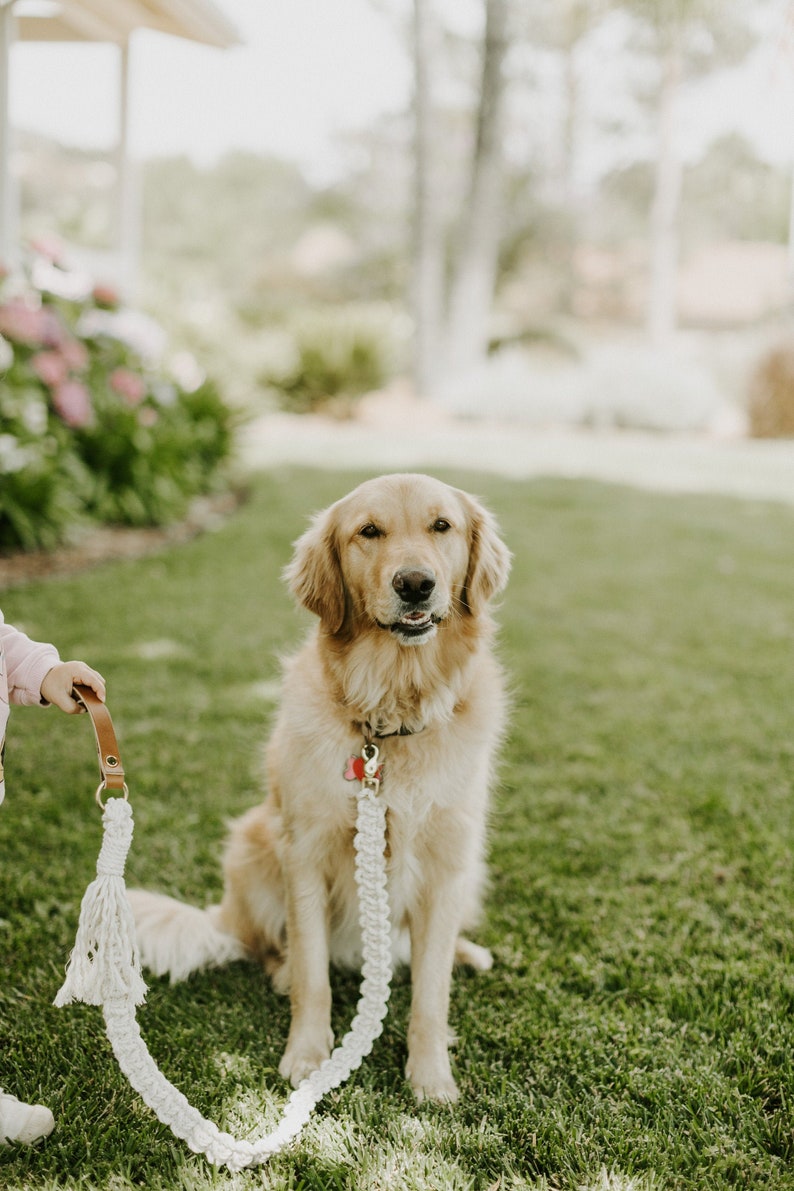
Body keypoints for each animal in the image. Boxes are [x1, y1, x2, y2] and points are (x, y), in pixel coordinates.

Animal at [129, 469, 516, 1100]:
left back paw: (466, 951)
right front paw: (308, 1055)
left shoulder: (444, 865)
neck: (388, 718)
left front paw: (430, 1075)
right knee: (269, 948)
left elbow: (430, 994)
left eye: (442, 526)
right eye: (369, 531)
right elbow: (314, 973)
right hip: (253, 845)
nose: (416, 584)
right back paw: (281, 971)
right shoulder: (305, 852)